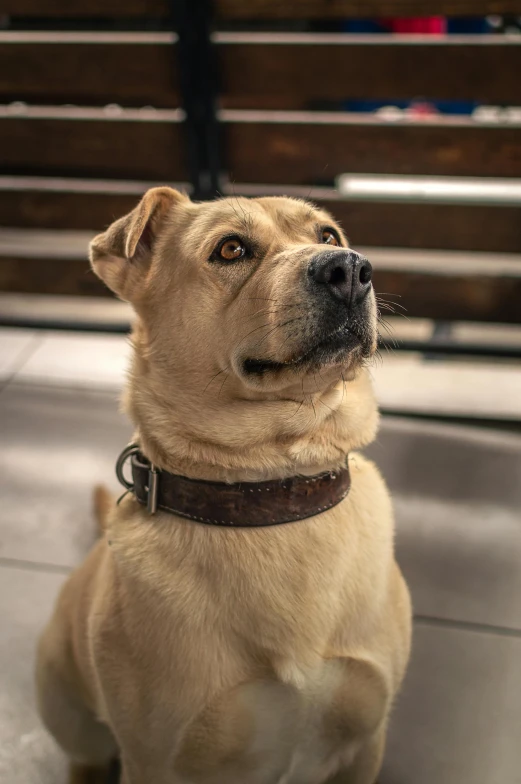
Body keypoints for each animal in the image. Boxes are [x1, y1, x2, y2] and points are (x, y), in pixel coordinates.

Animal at [35, 190, 410, 784]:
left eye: (328, 236)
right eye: (231, 249)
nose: (350, 269)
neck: (273, 489)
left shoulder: (364, 742)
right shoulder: (153, 762)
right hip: (67, 707)